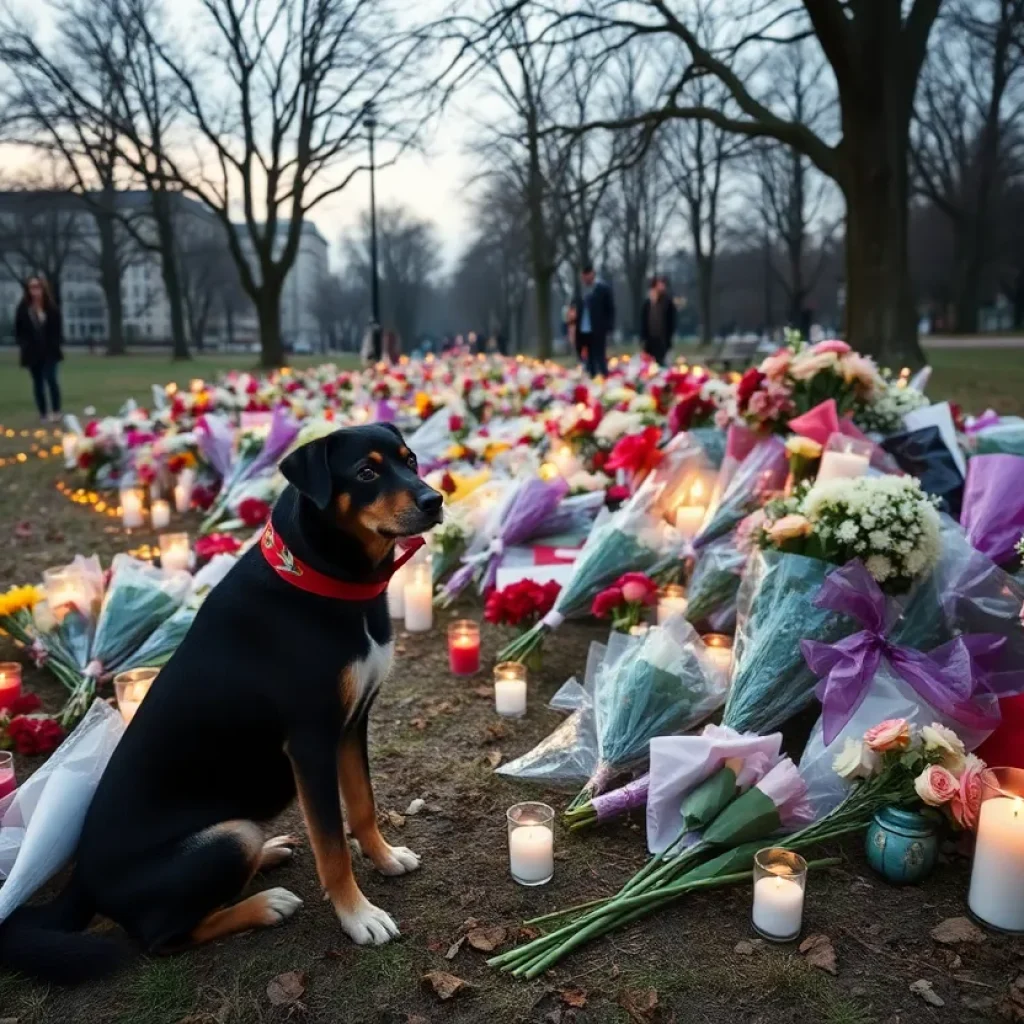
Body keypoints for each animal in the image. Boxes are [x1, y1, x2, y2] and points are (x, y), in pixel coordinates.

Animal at [0, 423, 444, 983]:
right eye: (366, 472)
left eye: (410, 461)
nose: (434, 500)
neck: (330, 581)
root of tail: (82, 881)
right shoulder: (311, 742)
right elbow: (331, 845)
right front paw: (358, 915)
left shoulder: (351, 723)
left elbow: (362, 806)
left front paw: (384, 858)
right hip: (225, 841)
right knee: (159, 938)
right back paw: (266, 904)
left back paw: (271, 853)